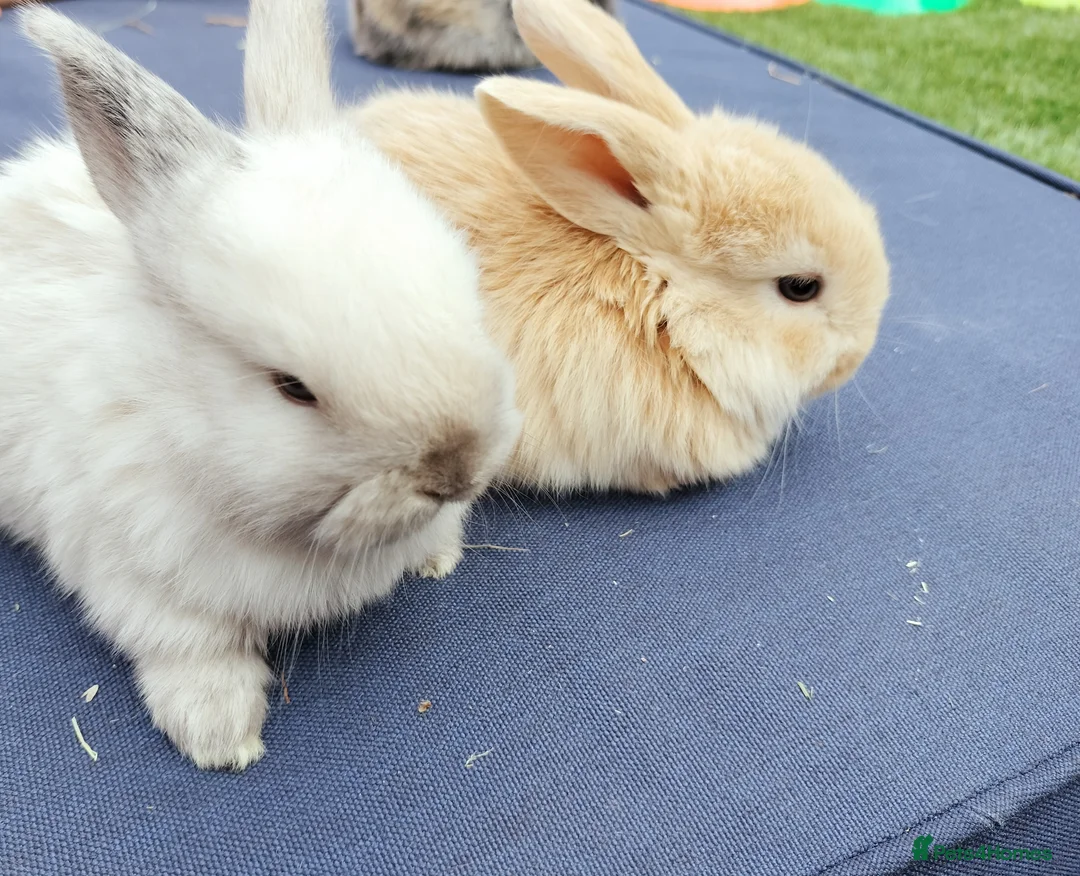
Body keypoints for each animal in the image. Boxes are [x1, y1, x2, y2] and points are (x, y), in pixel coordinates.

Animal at [0, 1, 520, 771]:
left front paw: (439, 559)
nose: (455, 471)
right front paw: (223, 739)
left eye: (466, 293)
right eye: (291, 387)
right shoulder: (143, 584)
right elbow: (194, 653)